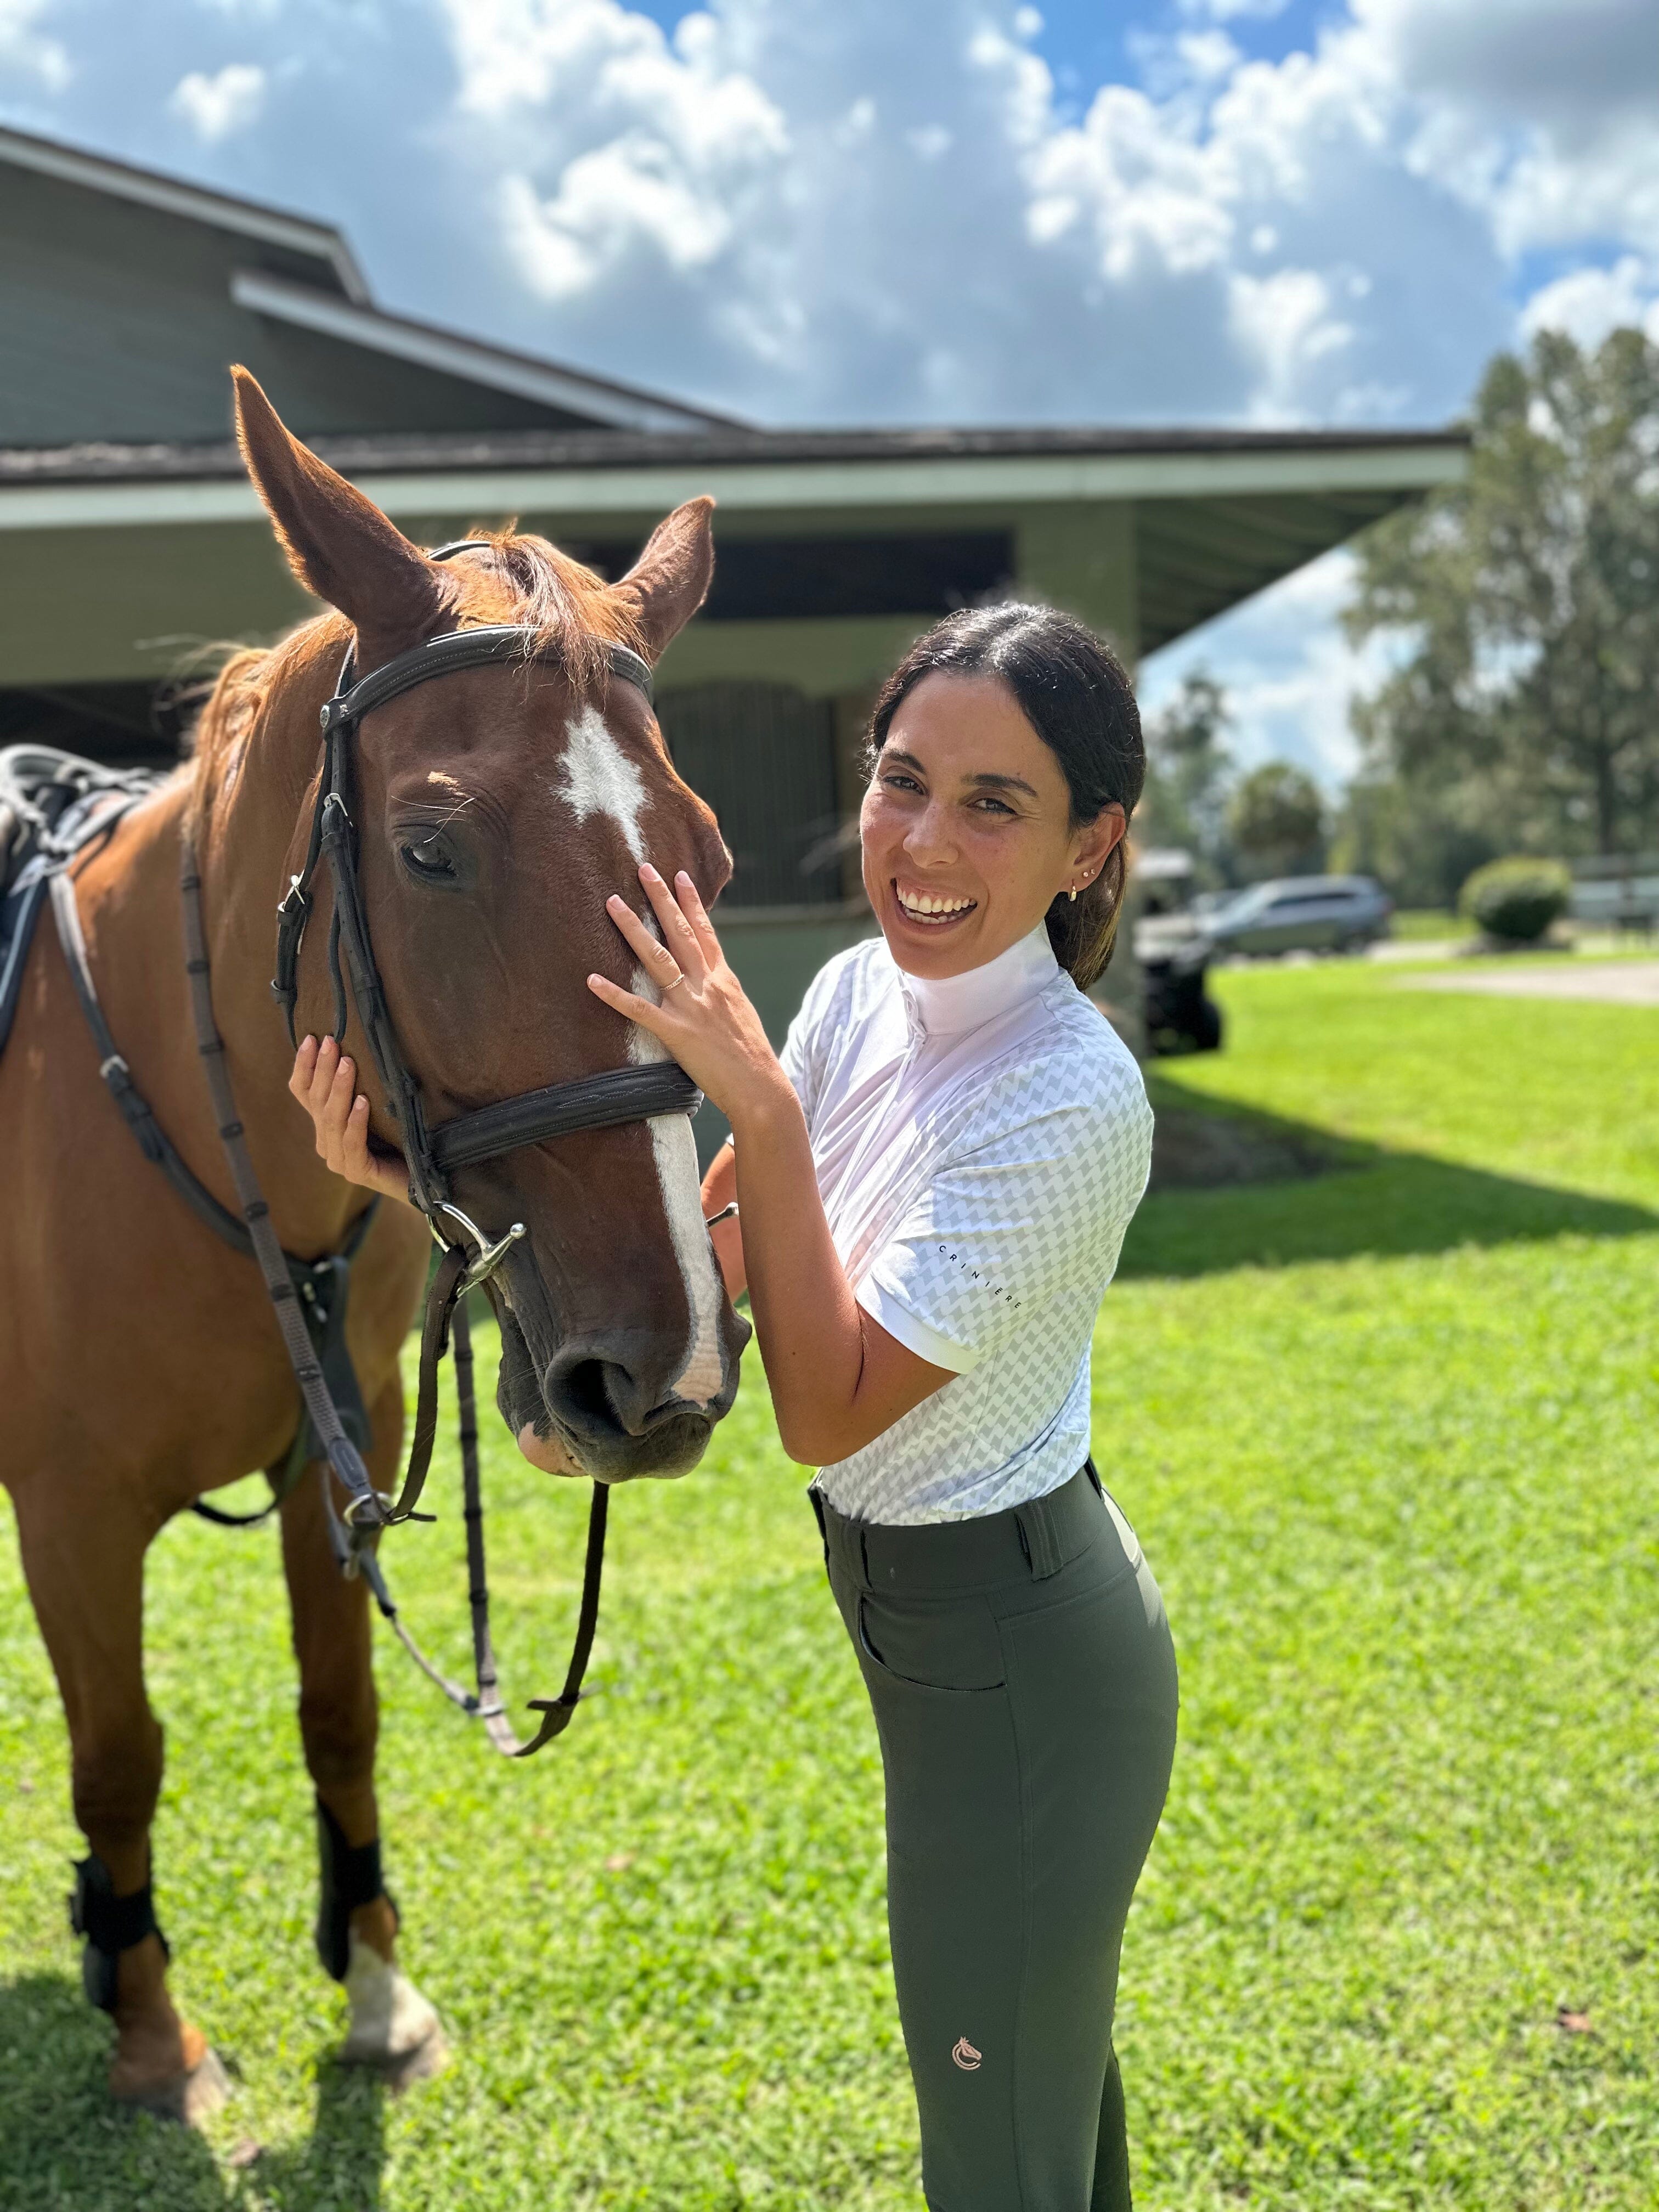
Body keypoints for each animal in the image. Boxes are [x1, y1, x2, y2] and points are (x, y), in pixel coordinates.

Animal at [1, 371, 747, 2114]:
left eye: (708, 854)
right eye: (428, 850)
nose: (665, 1368)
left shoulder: (329, 1463)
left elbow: (339, 1715)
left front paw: (375, 1988)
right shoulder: (68, 1512)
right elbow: (118, 1756)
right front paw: (151, 2027)